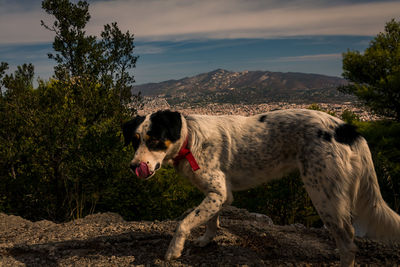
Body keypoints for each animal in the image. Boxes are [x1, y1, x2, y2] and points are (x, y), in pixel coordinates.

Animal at [122, 109, 400, 267]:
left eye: (155, 140)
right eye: (135, 141)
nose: (134, 166)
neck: (190, 139)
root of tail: (347, 129)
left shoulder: (218, 193)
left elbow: (184, 222)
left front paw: (174, 250)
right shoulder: (218, 195)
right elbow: (210, 220)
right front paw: (206, 239)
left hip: (323, 195)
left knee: (349, 243)